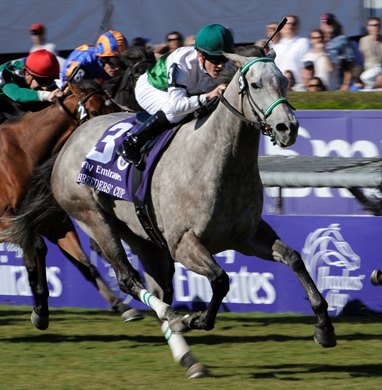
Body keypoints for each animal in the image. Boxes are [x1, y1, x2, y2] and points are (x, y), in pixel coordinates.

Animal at [0, 80, 142, 330]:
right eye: (93, 111)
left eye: (113, 105)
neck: (24, 150)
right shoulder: (8, 222)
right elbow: (37, 249)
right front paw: (40, 309)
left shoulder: (53, 223)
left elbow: (84, 262)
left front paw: (123, 306)